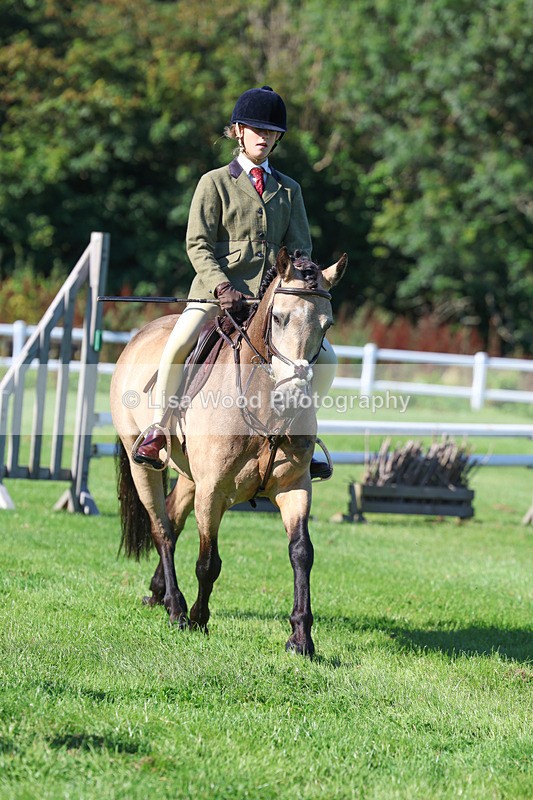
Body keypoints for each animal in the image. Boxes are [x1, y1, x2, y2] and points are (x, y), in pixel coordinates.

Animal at [110, 247, 346, 656]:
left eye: (327, 326)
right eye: (279, 317)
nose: (292, 395)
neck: (266, 406)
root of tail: (139, 336)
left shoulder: (295, 487)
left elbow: (302, 552)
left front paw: (301, 637)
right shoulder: (212, 492)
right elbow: (209, 562)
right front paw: (198, 620)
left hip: (189, 475)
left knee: (173, 517)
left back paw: (159, 594)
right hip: (145, 466)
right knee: (162, 528)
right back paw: (176, 608)